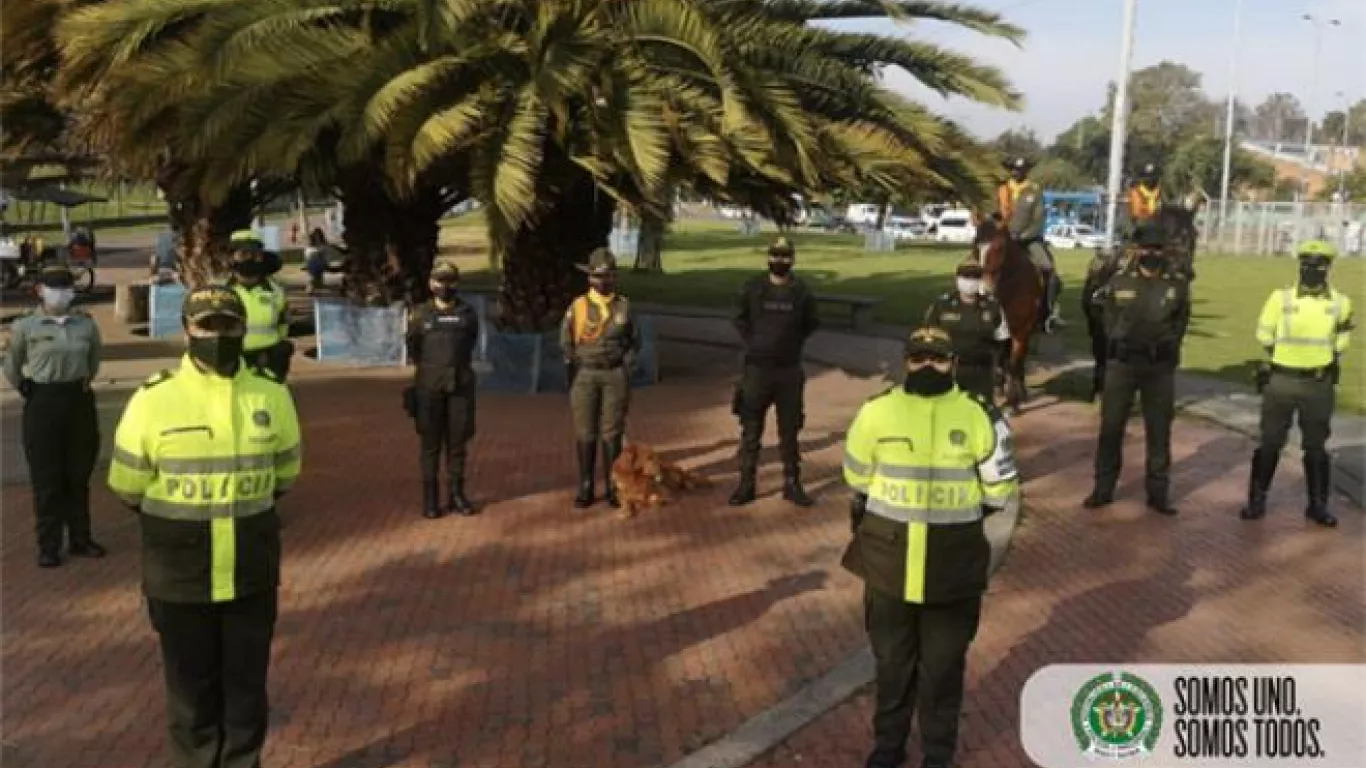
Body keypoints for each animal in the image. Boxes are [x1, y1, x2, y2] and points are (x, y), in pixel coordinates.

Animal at [978, 215, 1038, 412]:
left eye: (999, 247)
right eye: (975, 245)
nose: (985, 290)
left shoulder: (1021, 330)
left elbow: (1013, 363)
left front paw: (1013, 401)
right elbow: (998, 362)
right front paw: (998, 391)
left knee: (1019, 360)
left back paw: (1020, 392)